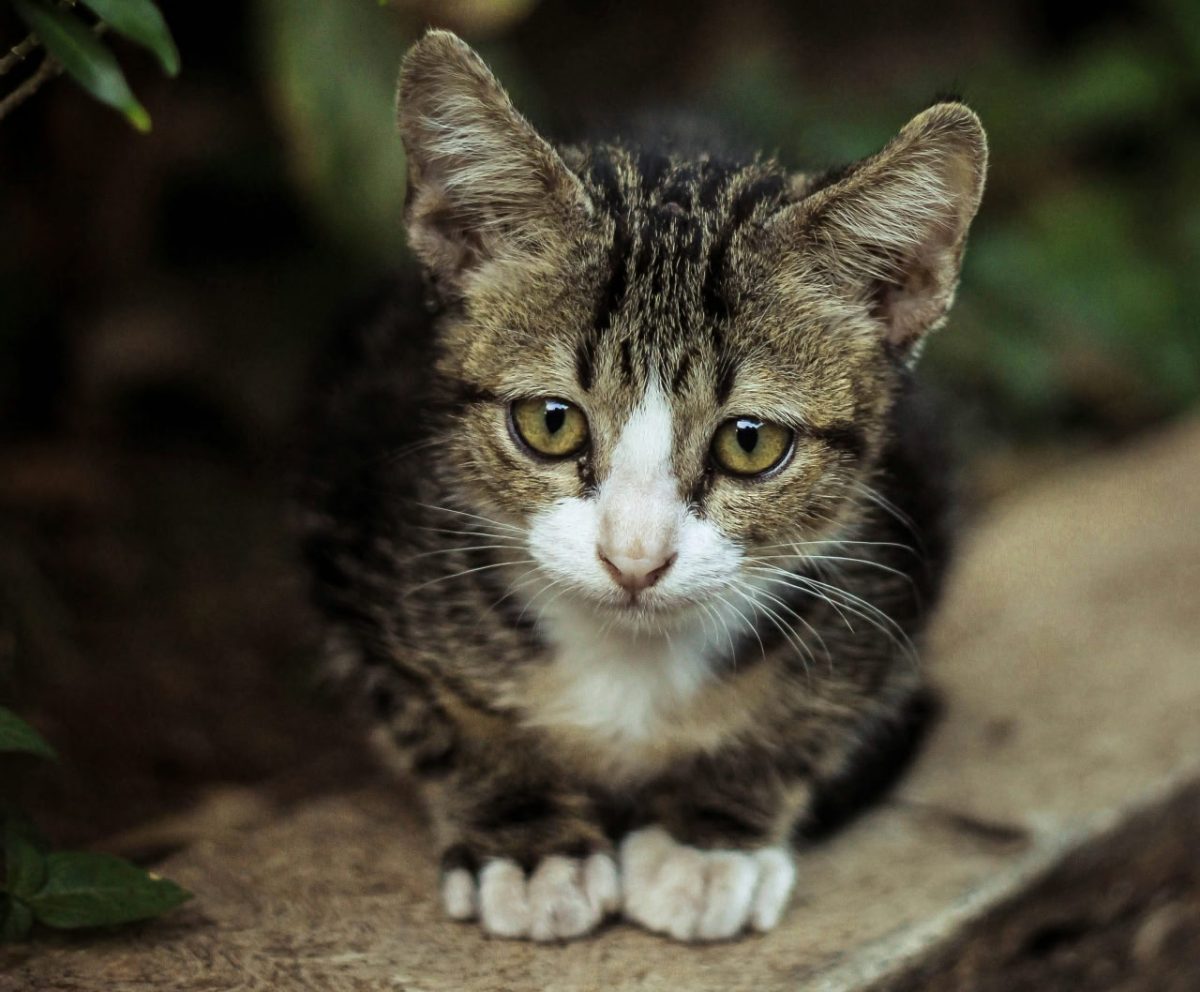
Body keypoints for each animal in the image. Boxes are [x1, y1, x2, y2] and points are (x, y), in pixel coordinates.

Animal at [300, 29, 984, 945]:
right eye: (550, 422)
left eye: (750, 443)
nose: (634, 558)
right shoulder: (350, 517)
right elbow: (430, 711)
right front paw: (528, 842)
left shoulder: (905, 544)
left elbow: (816, 716)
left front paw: (708, 838)